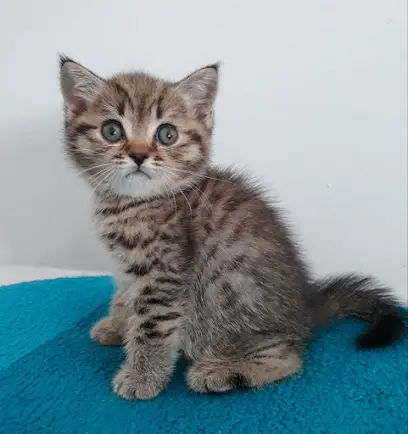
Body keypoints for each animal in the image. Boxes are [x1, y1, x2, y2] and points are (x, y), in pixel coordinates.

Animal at [59, 56, 404, 400]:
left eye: (167, 135)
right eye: (112, 130)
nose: (139, 154)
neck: (133, 202)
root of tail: (307, 312)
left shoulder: (166, 275)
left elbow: (151, 328)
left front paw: (142, 376)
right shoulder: (126, 268)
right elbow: (124, 297)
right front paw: (115, 325)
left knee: (288, 357)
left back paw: (223, 371)